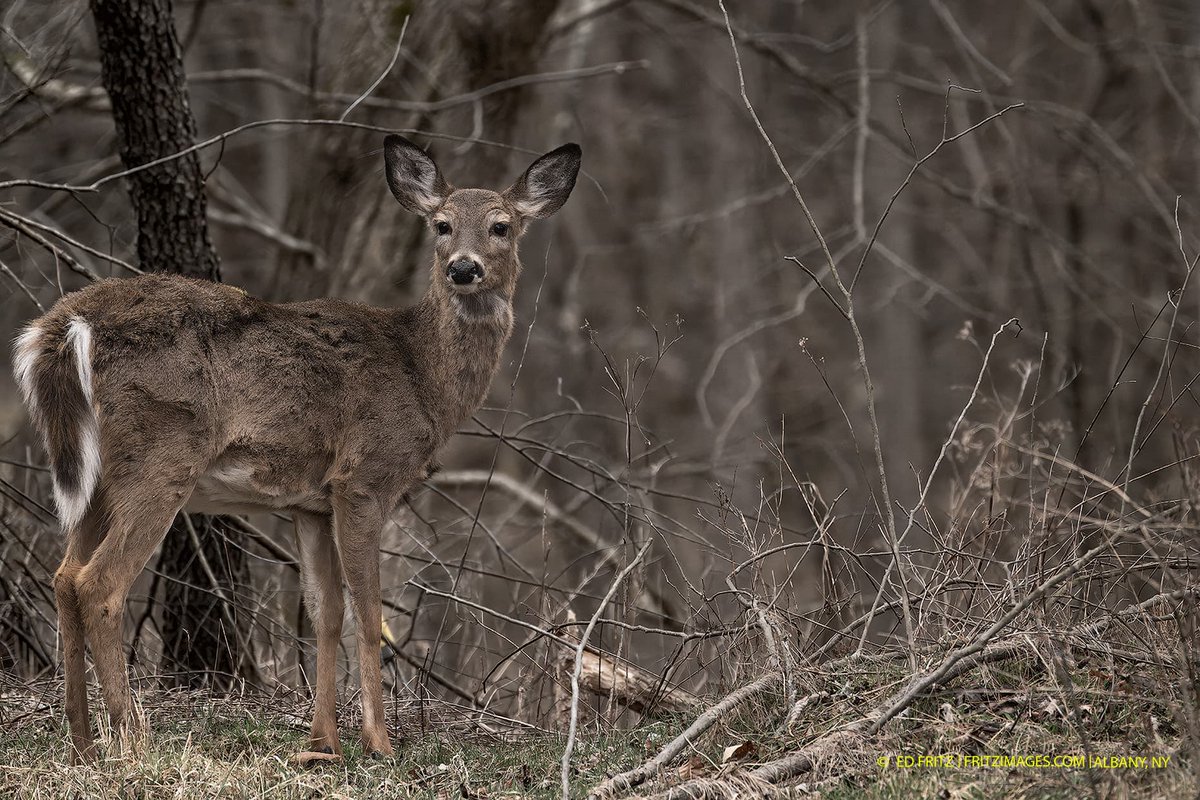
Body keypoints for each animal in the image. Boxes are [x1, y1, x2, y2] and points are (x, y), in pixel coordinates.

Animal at [12, 135, 581, 763]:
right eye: (442, 225)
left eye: (502, 226)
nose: (463, 268)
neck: (422, 375)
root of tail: (63, 325)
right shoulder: (364, 480)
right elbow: (368, 612)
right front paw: (380, 743)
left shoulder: (309, 504)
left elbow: (324, 611)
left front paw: (321, 741)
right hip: (162, 453)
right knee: (99, 584)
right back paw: (134, 741)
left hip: (96, 473)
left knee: (64, 577)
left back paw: (83, 742)